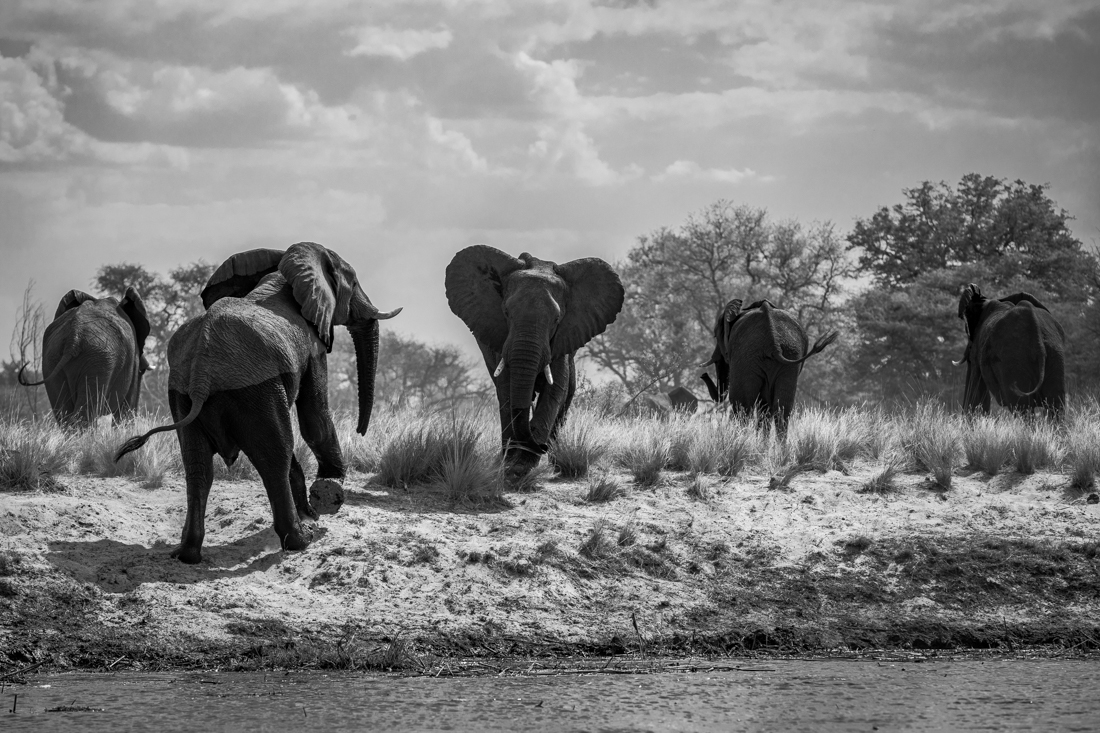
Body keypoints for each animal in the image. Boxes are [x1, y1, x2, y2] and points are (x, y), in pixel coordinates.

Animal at [19, 288, 150, 427]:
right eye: (142, 371)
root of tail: (74, 336)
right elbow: (126, 407)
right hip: (99, 359)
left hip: (52, 357)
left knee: (63, 412)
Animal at [115, 242, 401, 563]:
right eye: (353, 282)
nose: (361, 431)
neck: (286, 270)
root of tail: (201, 365)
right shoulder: (312, 347)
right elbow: (315, 418)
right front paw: (328, 490)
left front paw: (315, 507)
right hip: (256, 391)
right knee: (275, 457)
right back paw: (301, 540)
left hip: (181, 394)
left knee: (198, 466)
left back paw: (187, 554)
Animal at [445, 245, 624, 476]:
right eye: (506, 312)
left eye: (557, 319)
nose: (542, 446)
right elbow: (506, 388)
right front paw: (512, 464)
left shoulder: (563, 338)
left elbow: (556, 387)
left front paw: (524, 464)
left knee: (567, 393)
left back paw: (555, 460)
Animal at [700, 298, 837, 435]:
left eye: (715, 335)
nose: (703, 375)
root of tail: (774, 341)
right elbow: (765, 404)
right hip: (791, 353)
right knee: (782, 407)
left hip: (749, 353)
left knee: (742, 403)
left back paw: (740, 438)